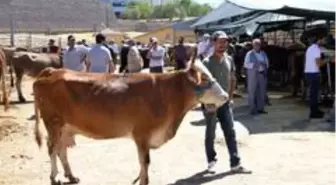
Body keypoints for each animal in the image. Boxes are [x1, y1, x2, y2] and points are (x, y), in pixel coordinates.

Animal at [33, 59, 228, 185]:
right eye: (205, 79)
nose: (226, 96)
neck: (167, 93)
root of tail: (53, 71)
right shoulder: (142, 133)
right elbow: (145, 162)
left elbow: (143, 163)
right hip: (53, 123)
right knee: (52, 149)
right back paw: (55, 177)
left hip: (65, 128)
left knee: (61, 150)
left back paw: (71, 176)